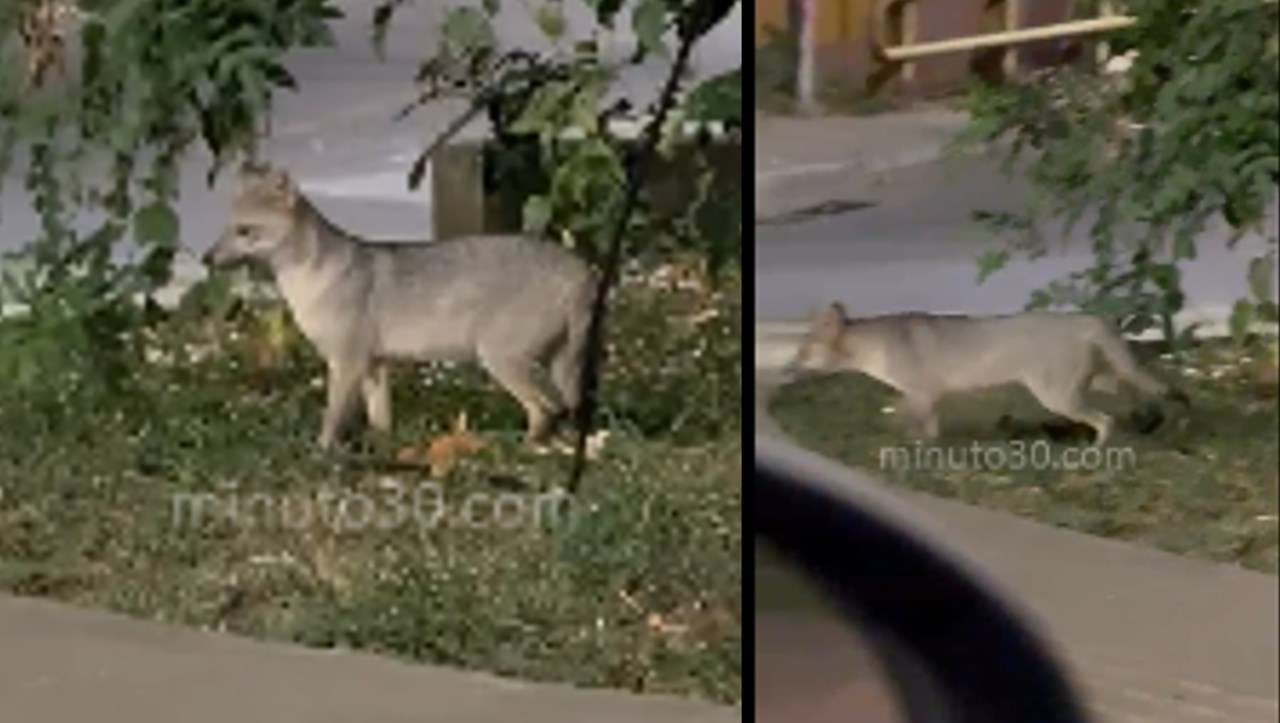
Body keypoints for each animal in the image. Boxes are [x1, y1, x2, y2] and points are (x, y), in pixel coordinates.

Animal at [202, 161, 596, 450]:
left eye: (244, 231)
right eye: (225, 228)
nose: (206, 258)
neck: (314, 280)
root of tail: (580, 269)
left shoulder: (346, 362)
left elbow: (332, 417)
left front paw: (322, 452)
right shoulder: (374, 364)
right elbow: (381, 419)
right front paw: (383, 448)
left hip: (501, 359)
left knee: (546, 409)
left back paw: (522, 449)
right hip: (545, 362)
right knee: (559, 409)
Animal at [778, 300, 1187, 445]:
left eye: (802, 353)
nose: (784, 370)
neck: (876, 343)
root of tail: (1087, 318)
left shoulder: (921, 392)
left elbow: (904, 417)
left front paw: (902, 438)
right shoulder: (932, 396)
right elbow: (928, 428)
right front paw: (927, 446)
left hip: (1057, 396)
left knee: (1105, 419)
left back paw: (1099, 450)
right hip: (1090, 384)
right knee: (1128, 396)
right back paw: (1147, 420)